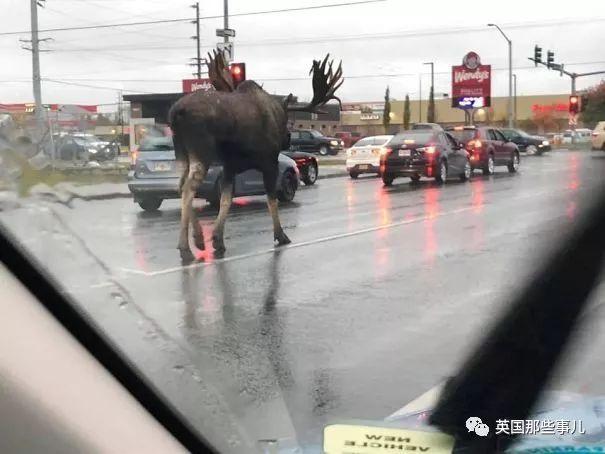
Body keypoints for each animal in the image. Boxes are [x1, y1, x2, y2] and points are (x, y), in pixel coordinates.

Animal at [168, 51, 342, 260]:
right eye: (288, 123)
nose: (288, 139)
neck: (278, 113)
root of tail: (176, 113)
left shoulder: (230, 166)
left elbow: (226, 200)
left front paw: (218, 239)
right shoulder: (269, 161)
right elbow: (271, 199)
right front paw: (281, 235)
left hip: (182, 153)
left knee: (179, 185)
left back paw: (199, 238)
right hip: (202, 151)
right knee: (188, 188)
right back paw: (186, 248)